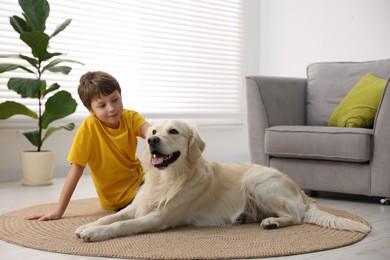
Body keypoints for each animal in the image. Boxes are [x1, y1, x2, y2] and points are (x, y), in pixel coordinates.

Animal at [74, 120, 370, 242]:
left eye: (173, 131)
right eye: (154, 131)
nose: (152, 140)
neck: (168, 179)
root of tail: (299, 188)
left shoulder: (159, 218)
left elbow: (122, 225)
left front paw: (94, 233)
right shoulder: (138, 207)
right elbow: (111, 217)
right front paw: (88, 225)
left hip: (256, 180)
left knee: (296, 217)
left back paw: (272, 222)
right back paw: (247, 217)